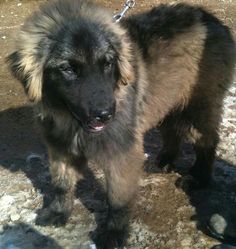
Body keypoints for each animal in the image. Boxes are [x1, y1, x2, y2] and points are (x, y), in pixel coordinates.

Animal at [6, 0, 234, 248]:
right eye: (68, 69)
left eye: (107, 64)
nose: (105, 114)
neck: (72, 122)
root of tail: (210, 18)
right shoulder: (60, 147)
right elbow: (62, 184)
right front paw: (58, 212)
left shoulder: (121, 152)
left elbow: (117, 198)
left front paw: (114, 232)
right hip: (166, 101)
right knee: (172, 132)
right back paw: (164, 161)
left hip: (199, 106)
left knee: (207, 141)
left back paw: (199, 178)